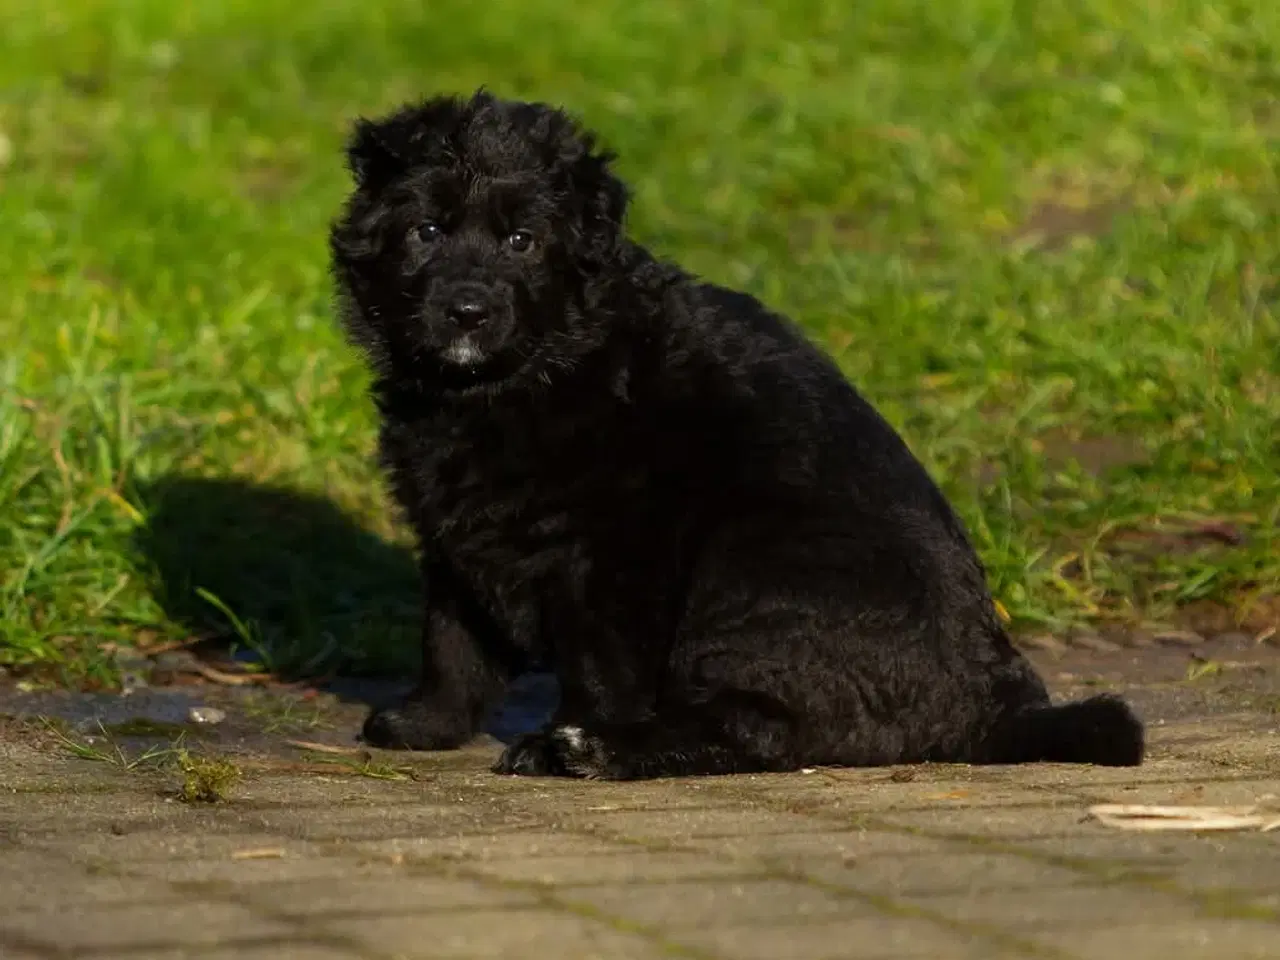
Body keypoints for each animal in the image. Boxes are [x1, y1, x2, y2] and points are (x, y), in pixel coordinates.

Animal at [327, 92, 1141, 783]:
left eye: (523, 241)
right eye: (427, 231)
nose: (466, 311)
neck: (517, 377)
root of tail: (991, 708)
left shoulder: (611, 550)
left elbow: (598, 665)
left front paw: (570, 733)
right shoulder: (457, 525)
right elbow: (451, 637)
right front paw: (425, 724)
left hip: (750, 569)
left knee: (760, 730)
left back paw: (589, 752)